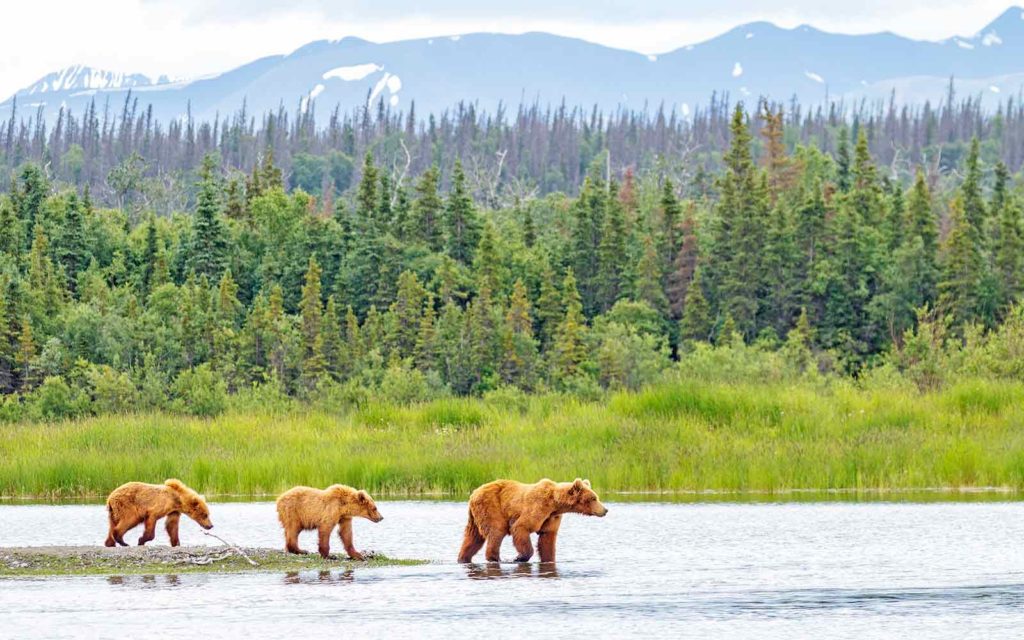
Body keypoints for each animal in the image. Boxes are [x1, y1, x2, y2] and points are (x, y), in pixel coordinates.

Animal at [457, 477, 608, 564]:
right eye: (593, 498)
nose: (605, 510)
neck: (555, 504)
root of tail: (473, 493)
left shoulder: (551, 517)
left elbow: (547, 539)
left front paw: (548, 559)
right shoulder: (537, 507)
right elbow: (521, 527)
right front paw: (519, 557)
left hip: (475, 516)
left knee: (473, 537)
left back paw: (463, 558)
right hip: (491, 507)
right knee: (496, 530)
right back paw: (495, 558)